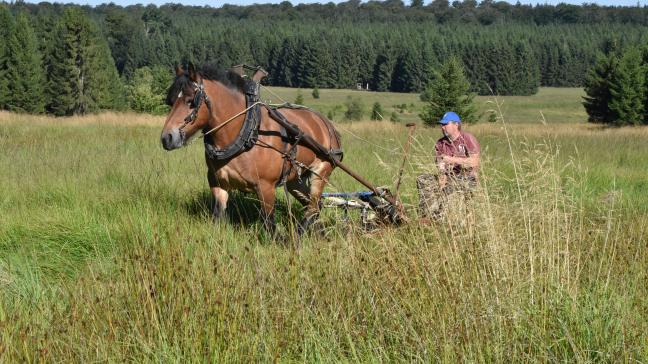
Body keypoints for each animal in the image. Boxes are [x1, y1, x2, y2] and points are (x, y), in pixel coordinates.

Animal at [160, 64, 342, 235]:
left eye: (191, 100)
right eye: (170, 101)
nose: (167, 138)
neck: (245, 133)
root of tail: (328, 125)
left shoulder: (266, 188)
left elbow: (270, 224)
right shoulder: (218, 183)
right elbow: (217, 217)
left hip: (321, 172)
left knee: (313, 207)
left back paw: (298, 236)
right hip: (295, 180)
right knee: (313, 205)